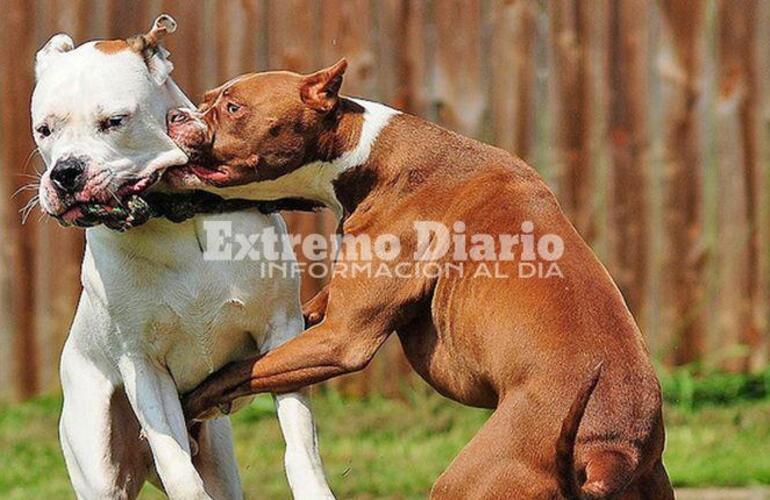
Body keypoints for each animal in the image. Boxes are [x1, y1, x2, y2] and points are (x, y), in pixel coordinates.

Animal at [31, 15, 332, 500]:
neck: (174, 217)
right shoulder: (144, 367)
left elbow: (300, 441)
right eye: (44, 130)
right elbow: (178, 469)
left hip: (219, 460)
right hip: (97, 456)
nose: (65, 173)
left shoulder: (282, 332)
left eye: (114, 121)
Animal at [165, 60, 668, 498]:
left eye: (233, 108)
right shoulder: (332, 316)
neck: (366, 155)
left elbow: (239, 371)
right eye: (205, 99)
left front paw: (191, 402)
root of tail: (612, 454)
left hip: (472, 480)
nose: (175, 116)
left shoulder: (342, 339)